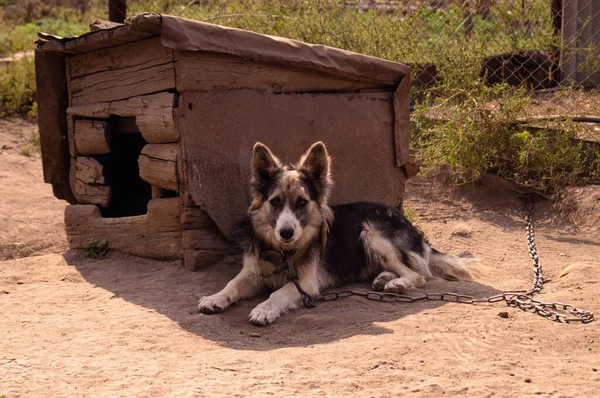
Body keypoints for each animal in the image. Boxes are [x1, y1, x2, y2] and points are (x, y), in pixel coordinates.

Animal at [199, 141, 476, 324]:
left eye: (302, 202)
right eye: (275, 202)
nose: (286, 233)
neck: (283, 252)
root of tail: (409, 223)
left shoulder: (306, 285)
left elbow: (280, 292)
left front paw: (265, 308)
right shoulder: (252, 271)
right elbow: (232, 284)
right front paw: (215, 297)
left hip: (371, 233)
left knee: (418, 274)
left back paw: (396, 283)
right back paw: (384, 278)